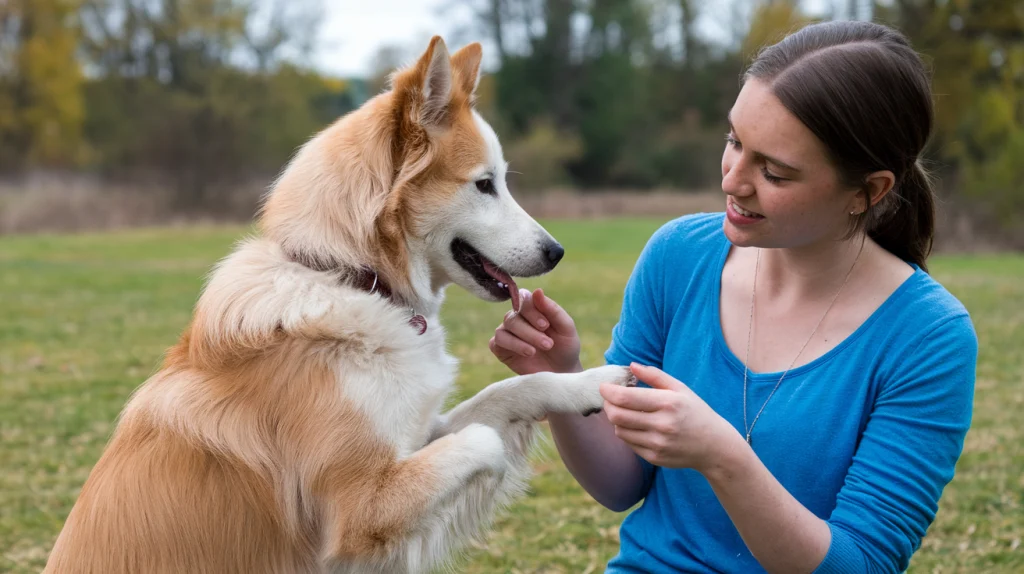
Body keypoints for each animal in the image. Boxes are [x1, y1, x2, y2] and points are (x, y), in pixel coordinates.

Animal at [46, 36, 638, 572]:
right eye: (484, 185)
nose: (556, 252)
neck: (351, 279)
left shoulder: (414, 436)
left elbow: (511, 389)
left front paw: (589, 384)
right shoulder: (361, 505)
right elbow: (483, 439)